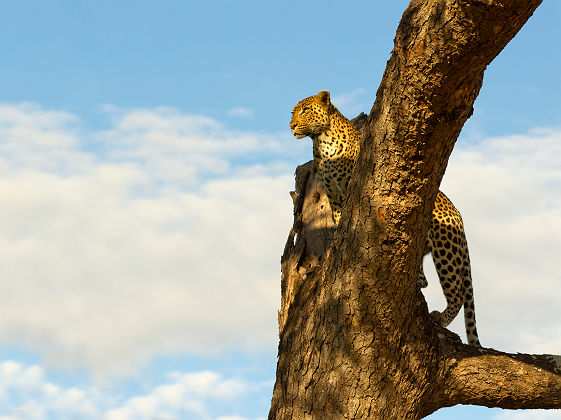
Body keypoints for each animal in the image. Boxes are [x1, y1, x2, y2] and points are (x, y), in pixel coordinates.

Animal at [290, 90, 480, 346]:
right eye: (293, 112)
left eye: (305, 111)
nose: (291, 125)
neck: (321, 142)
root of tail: (457, 213)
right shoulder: (335, 198)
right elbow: (339, 223)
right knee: (426, 278)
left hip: (445, 248)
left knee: (457, 291)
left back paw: (441, 317)